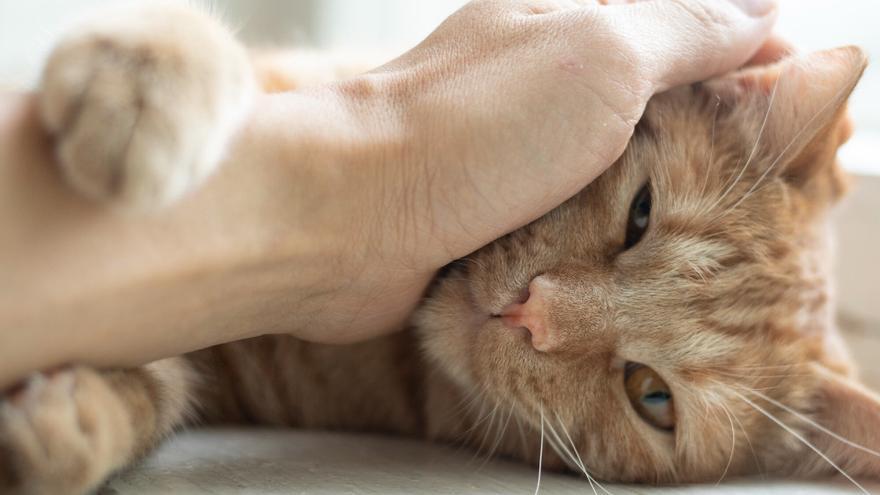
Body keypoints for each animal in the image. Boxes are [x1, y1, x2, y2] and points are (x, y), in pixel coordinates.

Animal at [1, 1, 880, 494]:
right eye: (639, 213)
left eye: (651, 396)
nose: (530, 313)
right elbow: (211, 44)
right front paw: (143, 77)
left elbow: (159, 388)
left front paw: (64, 424)